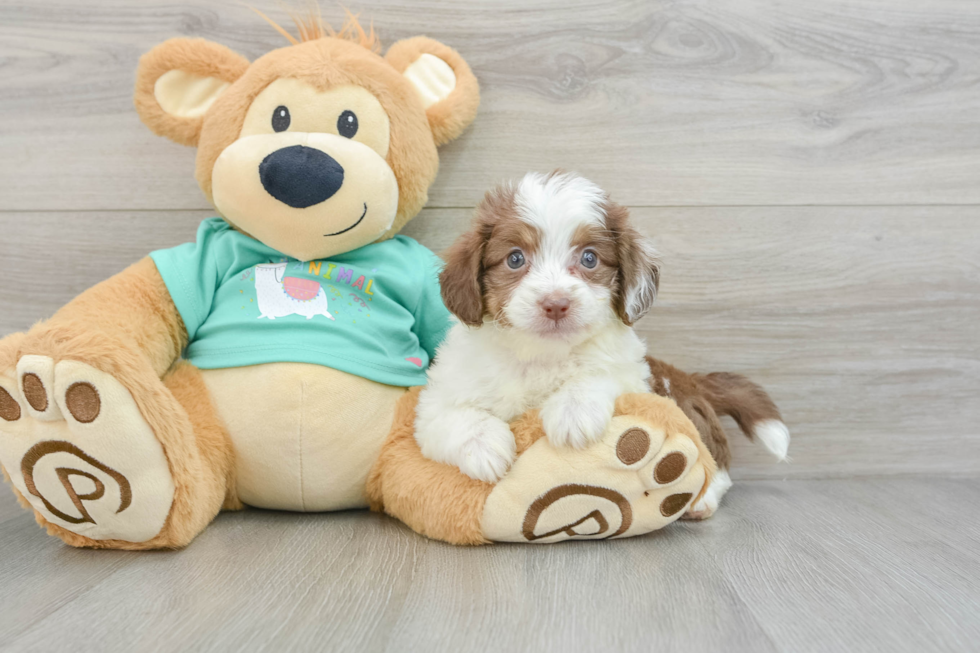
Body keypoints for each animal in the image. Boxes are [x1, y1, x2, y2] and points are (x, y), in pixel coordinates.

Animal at [414, 171, 660, 482]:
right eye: (515, 258)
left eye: (589, 258)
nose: (556, 304)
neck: (541, 354)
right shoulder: (436, 401)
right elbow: (450, 416)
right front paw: (484, 447)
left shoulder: (633, 375)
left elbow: (603, 373)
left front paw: (573, 410)